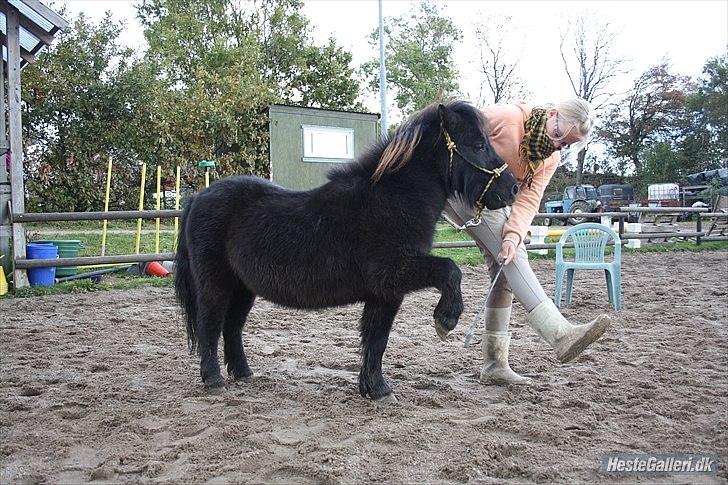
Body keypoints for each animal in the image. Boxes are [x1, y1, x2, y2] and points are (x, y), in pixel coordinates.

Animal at [175, 100, 516, 398]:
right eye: (478, 145)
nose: (511, 188)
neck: (392, 201)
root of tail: (199, 198)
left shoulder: (385, 293)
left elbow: (376, 339)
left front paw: (374, 389)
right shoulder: (394, 275)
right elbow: (449, 270)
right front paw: (446, 320)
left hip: (243, 288)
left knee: (232, 327)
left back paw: (243, 373)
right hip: (216, 285)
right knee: (210, 325)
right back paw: (213, 379)